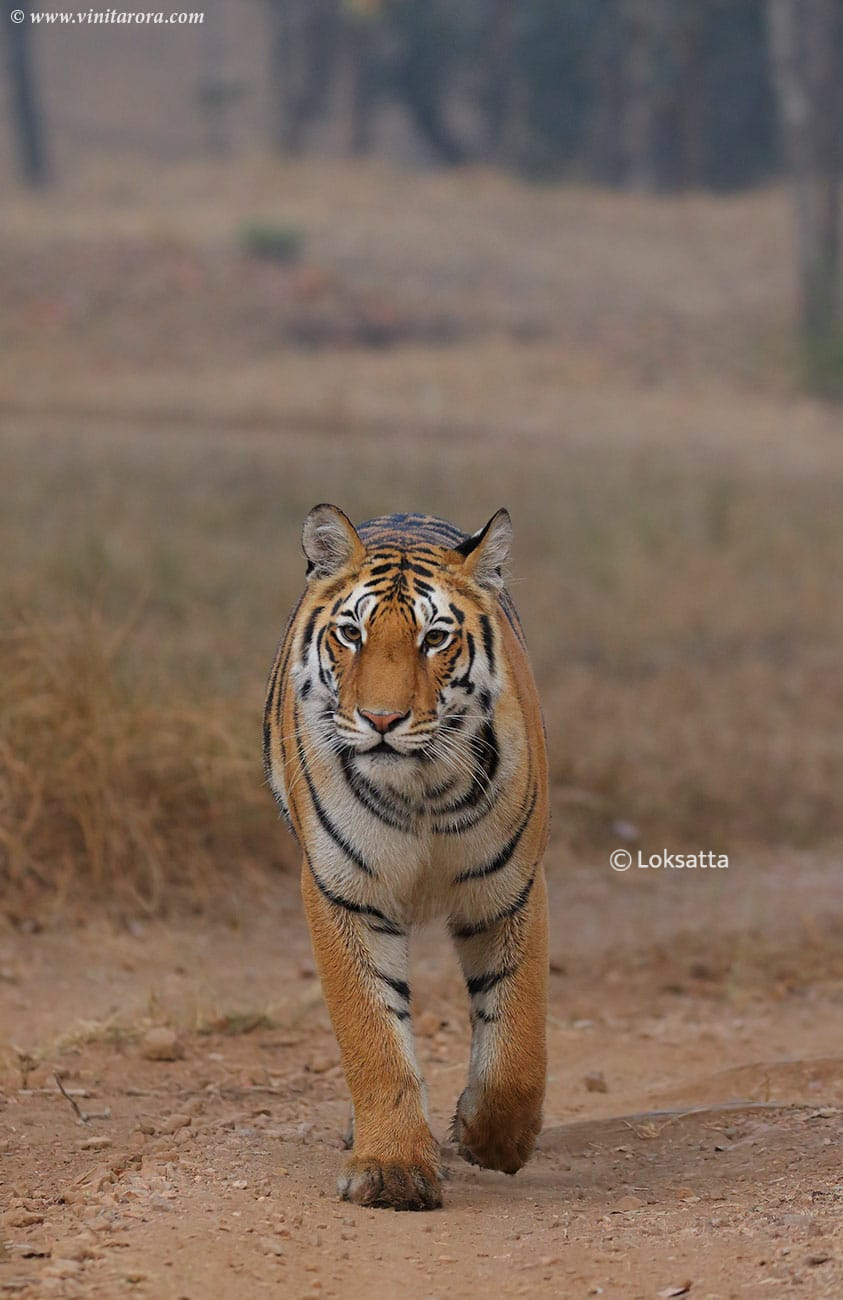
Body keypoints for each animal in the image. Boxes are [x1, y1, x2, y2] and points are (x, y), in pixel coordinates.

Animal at [265, 504, 554, 1206]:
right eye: (351, 634)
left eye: (435, 638)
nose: (381, 719)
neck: (421, 787)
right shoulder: (344, 892)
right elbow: (372, 1033)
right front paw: (393, 1168)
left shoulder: (509, 889)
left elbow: (517, 1037)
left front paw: (492, 1141)